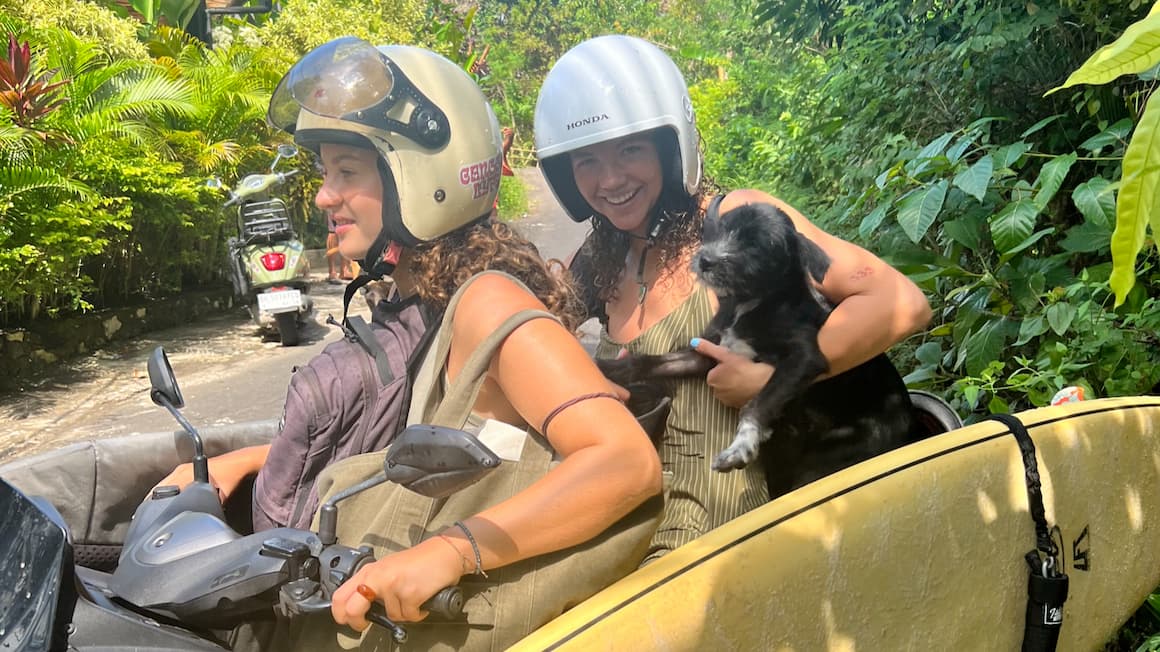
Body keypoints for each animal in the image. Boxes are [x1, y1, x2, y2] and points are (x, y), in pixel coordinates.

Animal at [598, 200, 914, 494]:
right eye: (720, 229)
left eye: (756, 247)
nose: (705, 260)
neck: (748, 304)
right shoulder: (706, 352)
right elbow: (652, 361)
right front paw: (609, 368)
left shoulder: (803, 357)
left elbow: (758, 402)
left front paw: (742, 445)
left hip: (822, 463)